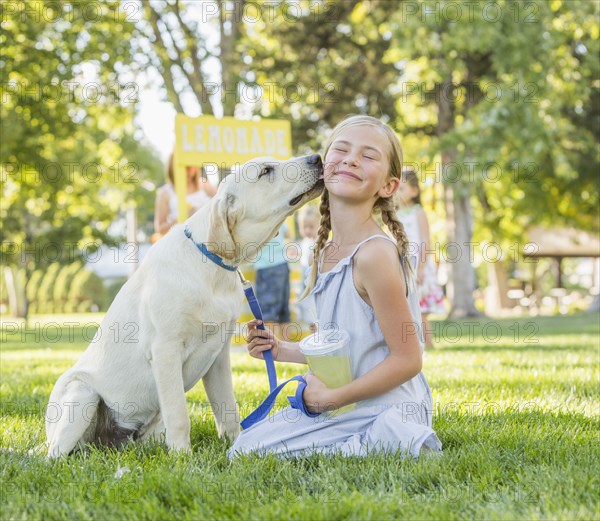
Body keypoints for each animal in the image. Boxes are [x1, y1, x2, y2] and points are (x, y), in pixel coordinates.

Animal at [46, 153, 324, 456]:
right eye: (266, 171)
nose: (316, 157)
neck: (212, 265)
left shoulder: (219, 355)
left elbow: (227, 409)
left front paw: (234, 443)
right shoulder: (165, 350)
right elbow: (179, 413)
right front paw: (182, 456)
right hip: (81, 394)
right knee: (55, 454)